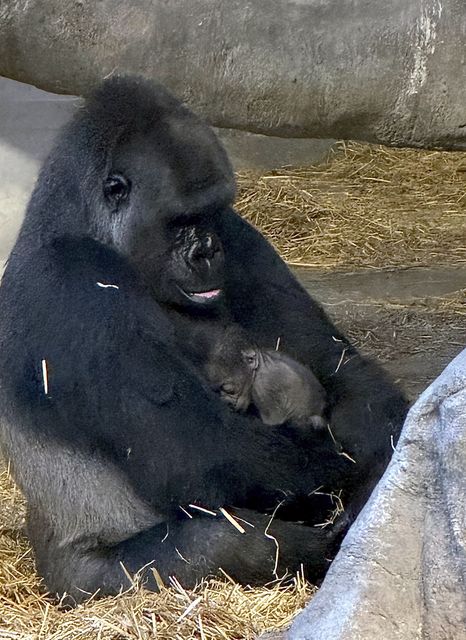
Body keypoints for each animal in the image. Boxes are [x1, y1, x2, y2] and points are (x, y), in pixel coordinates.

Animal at [0, 77, 406, 604]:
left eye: (213, 212)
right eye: (180, 220)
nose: (207, 251)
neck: (79, 225)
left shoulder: (240, 234)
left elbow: (340, 366)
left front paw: (375, 472)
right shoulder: (73, 283)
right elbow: (197, 456)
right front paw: (344, 478)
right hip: (80, 582)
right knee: (225, 539)